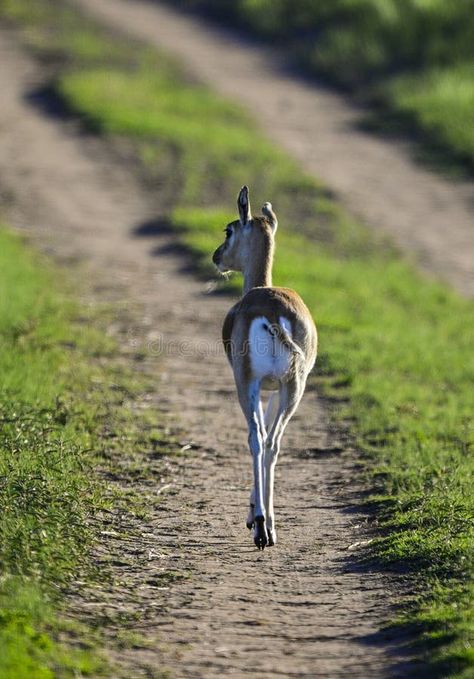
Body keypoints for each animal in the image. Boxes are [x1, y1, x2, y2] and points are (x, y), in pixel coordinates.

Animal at [212, 187, 316, 552]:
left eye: (228, 230)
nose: (215, 257)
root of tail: (272, 313)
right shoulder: (276, 387)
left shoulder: (256, 385)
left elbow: (257, 432)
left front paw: (251, 516)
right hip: (294, 388)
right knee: (273, 443)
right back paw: (269, 526)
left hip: (248, 384)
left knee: (257, 439)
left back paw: (261, 528)